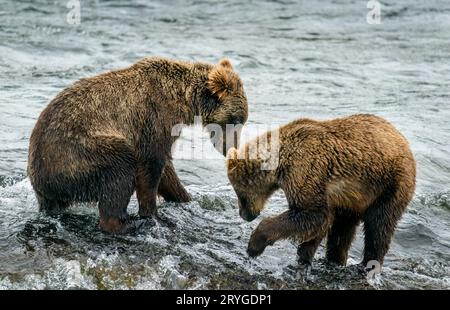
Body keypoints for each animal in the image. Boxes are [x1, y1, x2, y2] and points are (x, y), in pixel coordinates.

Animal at [27, 57, 250, 234]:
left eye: (242, 120)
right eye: (236, 120)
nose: (231, 149)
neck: (182, 99)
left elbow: (167, 171)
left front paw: (187, 199)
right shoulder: (153, 120)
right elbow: (150, 168)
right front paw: (153, 216)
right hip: (78, 154)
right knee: (119, 168)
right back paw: (127, 224)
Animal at [227, 114, 416, 266]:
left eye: (239, 193)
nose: (244, 214)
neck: (280, 162)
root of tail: (403, 140)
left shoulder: (306, 169)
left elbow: (312, 214)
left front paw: (254, 246)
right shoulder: (325, 190)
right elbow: (319, 224)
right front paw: (304, 255)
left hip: (389, 183)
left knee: (379, 226)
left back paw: (368, 263)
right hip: (354, 198)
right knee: (343, 229)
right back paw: (335, 259)